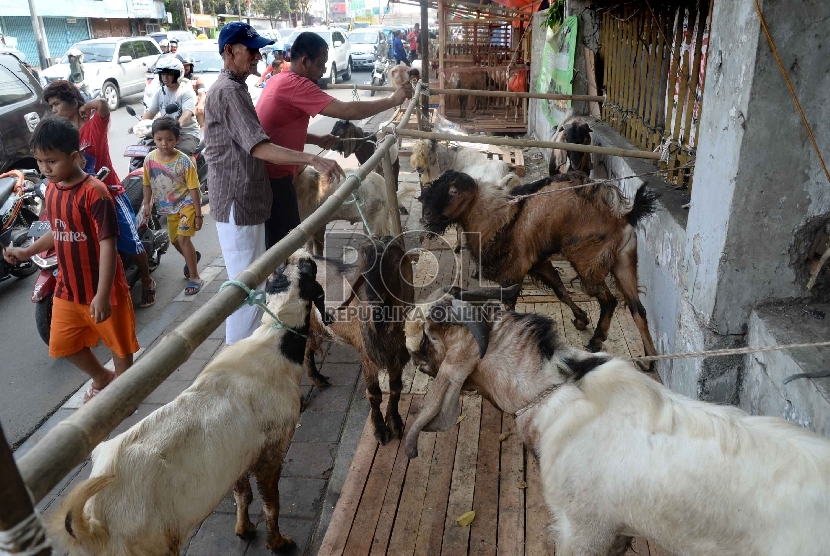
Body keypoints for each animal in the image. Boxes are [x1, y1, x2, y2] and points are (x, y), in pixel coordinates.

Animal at [49, 253, 332, 556]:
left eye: (289, 268)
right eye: (309, 268)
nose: (303, 255)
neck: (275, 342)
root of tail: (92, 527)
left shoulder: (242, 456)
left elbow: (242, 494)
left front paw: (244, 529)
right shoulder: (272, 450)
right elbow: (272, 504)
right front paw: (279, 543)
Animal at [306, 237, 416, 446]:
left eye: (395, 263)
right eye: (364, 270)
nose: (374, 299)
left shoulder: (396, 358)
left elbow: (396, 389)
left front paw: (395, 423)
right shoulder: (367, 358)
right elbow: (374, 394)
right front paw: (380, 431)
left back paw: (318, 379)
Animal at [420, 172, 660, 368]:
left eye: (453, 191)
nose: (426, 215)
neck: (495, 218)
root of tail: (624, 216)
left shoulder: (512, 273)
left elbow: (509, 305)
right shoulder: (540, 264)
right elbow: (561, 291)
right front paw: (581, 319)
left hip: (589, 261)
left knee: (609, 301)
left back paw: (596, 341)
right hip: (624, 262)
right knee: (638, 309)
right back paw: (649, 359)